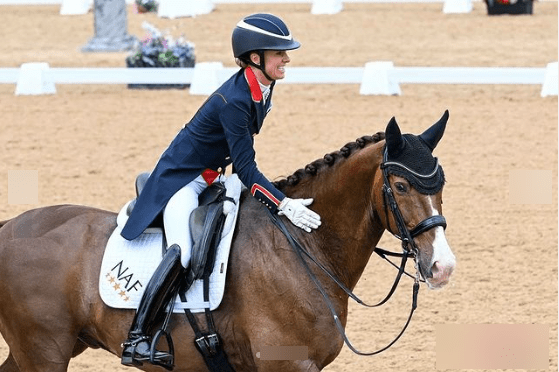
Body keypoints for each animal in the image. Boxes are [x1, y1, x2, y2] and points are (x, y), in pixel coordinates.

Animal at [0, 112, 456, 370]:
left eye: (441, 184)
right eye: (400, 186)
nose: (442, 267)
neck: (305, 249)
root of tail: (9, 227)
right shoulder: (286, 364)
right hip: (44, 352)